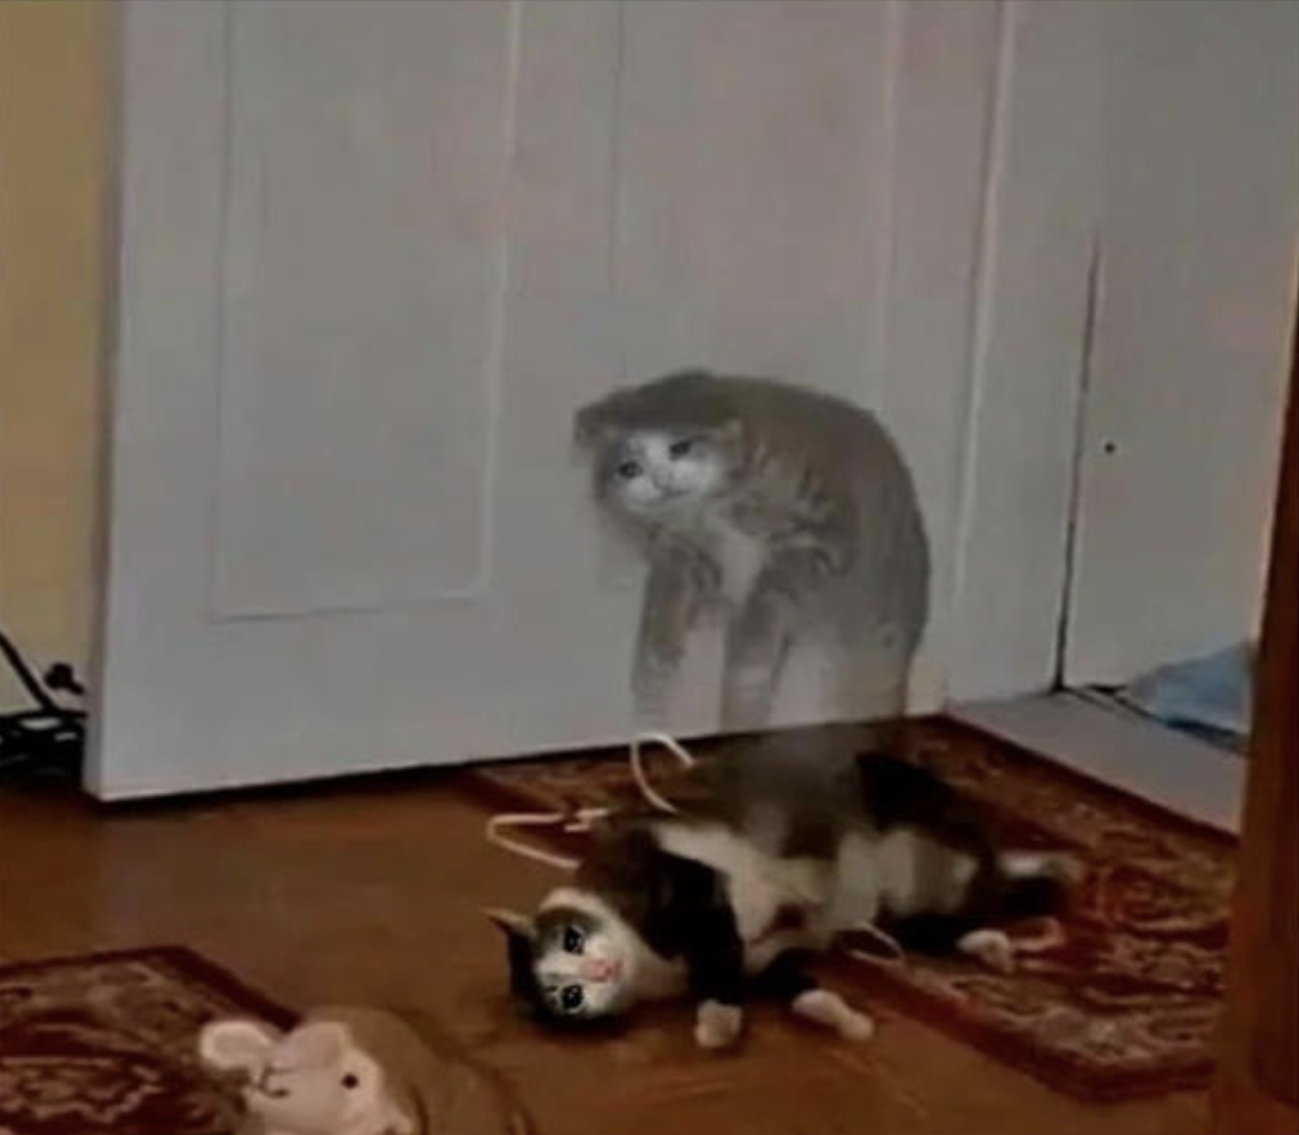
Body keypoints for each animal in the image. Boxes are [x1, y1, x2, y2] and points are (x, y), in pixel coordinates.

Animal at [488, 747, 1075, 1049]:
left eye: (572, 939)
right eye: (567, 997)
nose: (600, 972)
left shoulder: (692, 885)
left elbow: (719, 958)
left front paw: (718, 1024)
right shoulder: (766, 959)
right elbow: (797, 987)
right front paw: (843, 1019)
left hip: (901, 845)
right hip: (895, 908)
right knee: (945, 923)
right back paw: (997, 943)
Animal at [573, 369, 930, 732]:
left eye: (680, 448)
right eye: (629, 469)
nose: (661, 481)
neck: (717, 506)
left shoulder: (821, 538)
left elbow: (765, 604)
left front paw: (745, 660)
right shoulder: (692, 553)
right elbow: (667, 603)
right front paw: (657, 656)